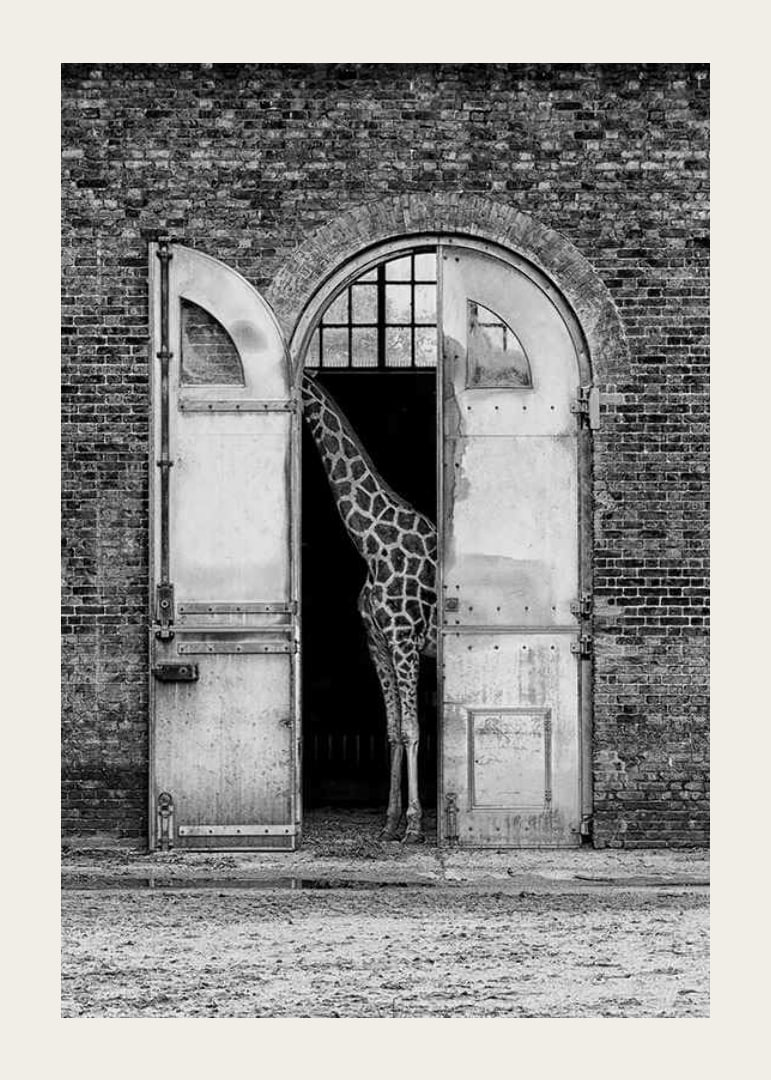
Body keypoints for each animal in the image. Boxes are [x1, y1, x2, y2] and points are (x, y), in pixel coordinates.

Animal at [301, 371, 437, 843]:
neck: (372, 544)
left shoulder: (404, 639)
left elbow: (413, 729)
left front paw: (413, 825)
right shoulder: (377, 642)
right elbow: (393, 731)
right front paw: (390, 821)